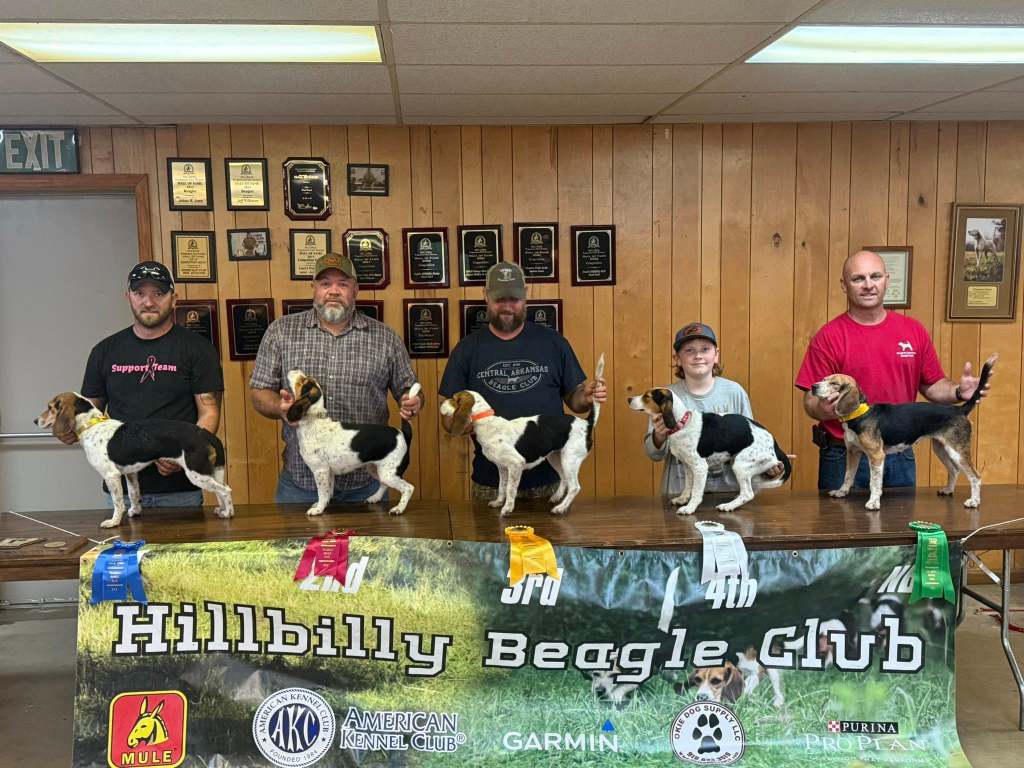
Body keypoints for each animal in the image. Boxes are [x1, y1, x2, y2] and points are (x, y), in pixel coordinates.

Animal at [35, 392, 233, 528]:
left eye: (50, 407)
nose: (35, 420)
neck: (92, 425)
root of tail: (201, 432)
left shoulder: (111, 475)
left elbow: (118, 502)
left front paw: (113, 522)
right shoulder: (131, 473)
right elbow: (133, 494)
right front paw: (135, 511)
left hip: (196, 474)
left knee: (226, 490)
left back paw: (228, 513)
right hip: (207, 472)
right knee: (220, 490)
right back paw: (221, 509)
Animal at [286, 370, 419, 516]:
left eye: (302, 381)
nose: (294, 368)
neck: (314, 421)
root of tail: (402, 433)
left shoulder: (320, 471)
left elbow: (322, 493)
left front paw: (318, 509)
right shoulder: (329, 472)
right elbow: (327, 493)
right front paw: (322, 505)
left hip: (388, 473)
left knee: (408, 488)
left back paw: (399, 508)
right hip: (376, 469)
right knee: (384, 485)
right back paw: (375, 498)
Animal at [627, 388, 791, 514]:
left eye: (647, 396)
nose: (629, 399)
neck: (682, 424)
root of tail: (776, 446)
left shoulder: (700, 468)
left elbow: (696, 491)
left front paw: (689, 508)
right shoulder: (688, 466)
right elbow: (688, 487)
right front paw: (682, 499)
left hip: (740, 464)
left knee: (748, 494)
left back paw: (728, 506)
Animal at [810, 355, 996, 510]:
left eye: (834, 383)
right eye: (824, 379)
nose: (813, 386)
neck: (859, 414)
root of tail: (960, 409)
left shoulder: (876, 456)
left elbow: (874, 482)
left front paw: (873, 502)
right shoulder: (853, 452)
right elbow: (848, 476)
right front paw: (842, 492)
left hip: (957, 451)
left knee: (975, 476)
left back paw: (974, 501)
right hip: (942, 448)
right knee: (954, 470)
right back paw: (948, 490)